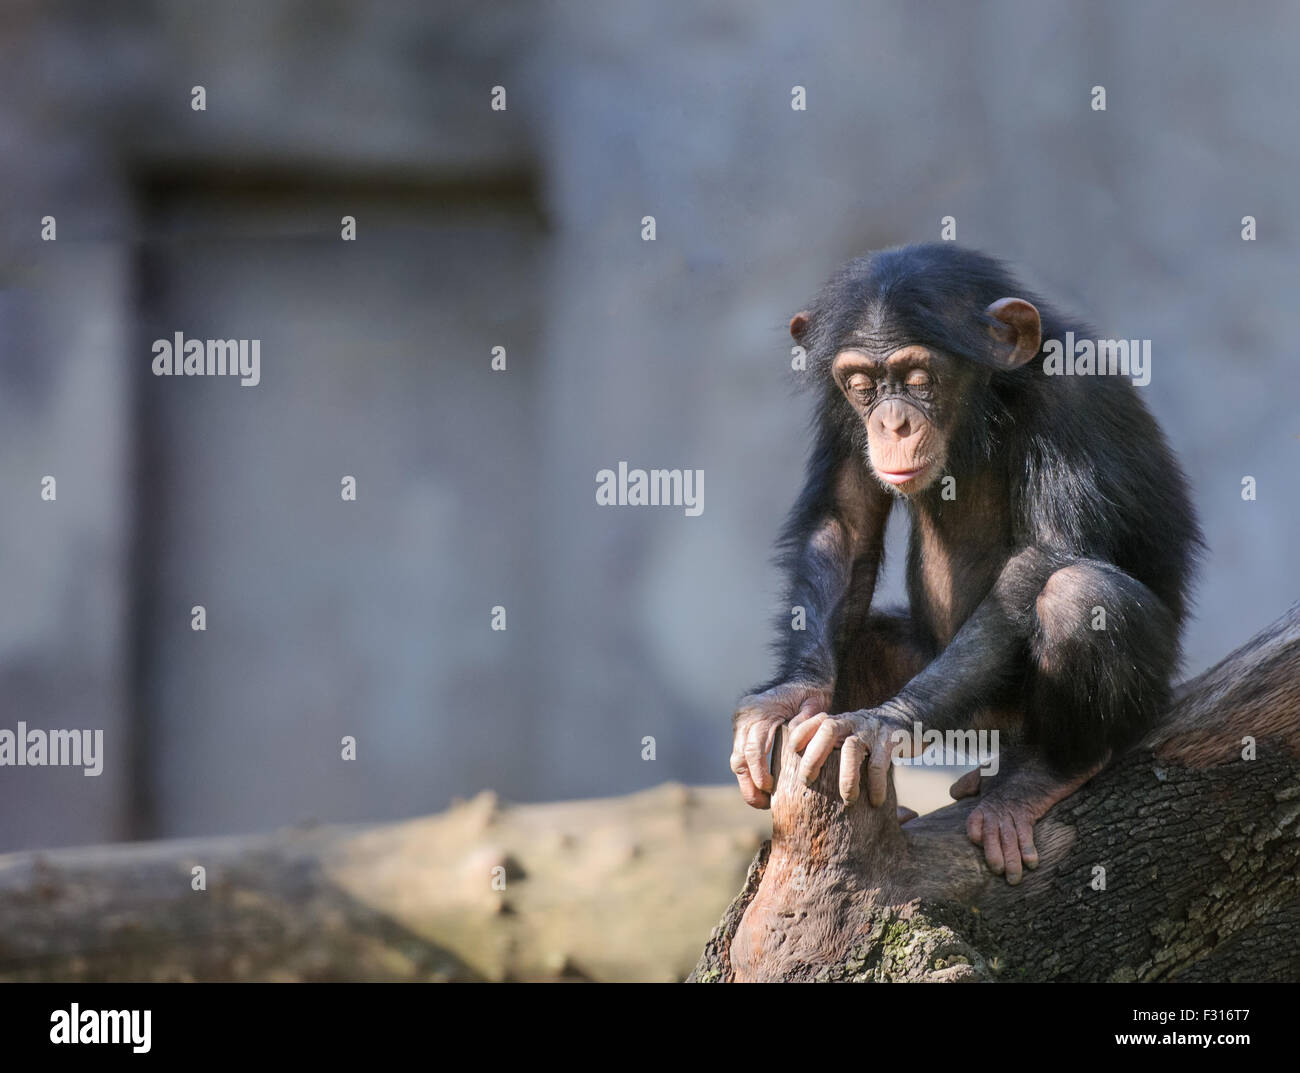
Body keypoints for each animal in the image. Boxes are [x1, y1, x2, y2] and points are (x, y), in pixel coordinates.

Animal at [733, 243, 1196, 879]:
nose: (892, 421)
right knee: (867, 643)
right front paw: (789, 695)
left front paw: (881, 723)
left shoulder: (1074, 395)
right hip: (963, 709)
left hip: (1134, 697)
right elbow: (844, 524)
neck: (991, 403)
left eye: (919, 380)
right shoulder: (836, 412)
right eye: (862, 385)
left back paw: (1045, 774)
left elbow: (1044, 557)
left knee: (1080, 597)